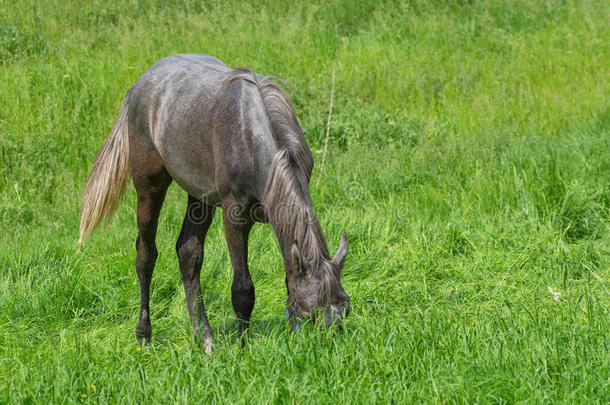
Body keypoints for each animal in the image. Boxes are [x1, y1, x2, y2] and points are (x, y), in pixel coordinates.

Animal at [78, 53, 350, 350]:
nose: (332, 348)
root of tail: (138, 86)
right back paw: (145, 335)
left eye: (345, 309)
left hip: (200, 199)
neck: (252, 134)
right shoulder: (235, 215)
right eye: (310, 313)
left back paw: (205, 339)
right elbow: (243, 288)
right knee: (145, 255)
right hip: (149, 187)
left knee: (188, 253)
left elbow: (288, 278)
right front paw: (243, 349)